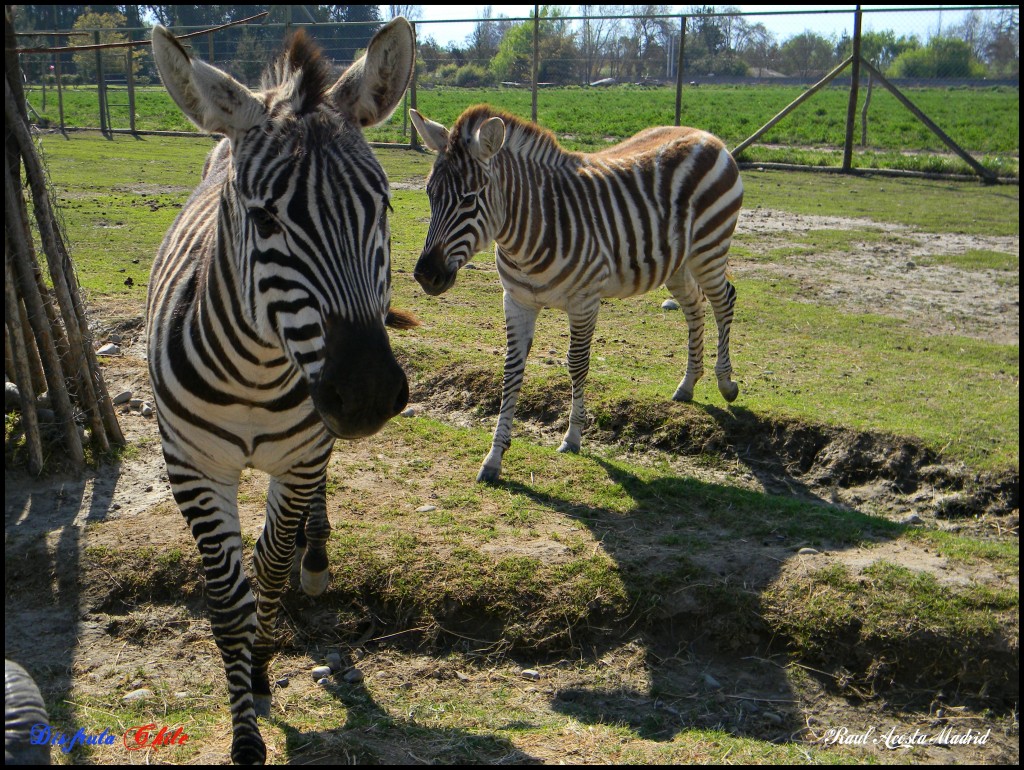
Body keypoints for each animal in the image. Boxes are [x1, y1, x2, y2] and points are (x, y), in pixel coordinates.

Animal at [145, 19, 415, 765]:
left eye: (383, 206)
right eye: (265, 221)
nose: (368, 393)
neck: (257, 372)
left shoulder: (297, 458)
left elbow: (265, 572)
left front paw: (263, 667)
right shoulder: (192, 469)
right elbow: (227, 597)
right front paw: (243, 728)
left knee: (307, 513)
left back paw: (313, 556)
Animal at [409, 107, 745, 481]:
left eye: (469, 199)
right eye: (429, 194)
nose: (425, 275)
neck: (528, 231)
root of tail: (706, 135)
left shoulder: (584, 302)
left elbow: (577, 364)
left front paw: (572, 437)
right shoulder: (516, 301)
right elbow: (511, 369)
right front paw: (494, 457)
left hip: (709, 248)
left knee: (724, 301)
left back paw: (726, 383)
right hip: (676, 263)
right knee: (694, 307)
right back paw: (688, 384)